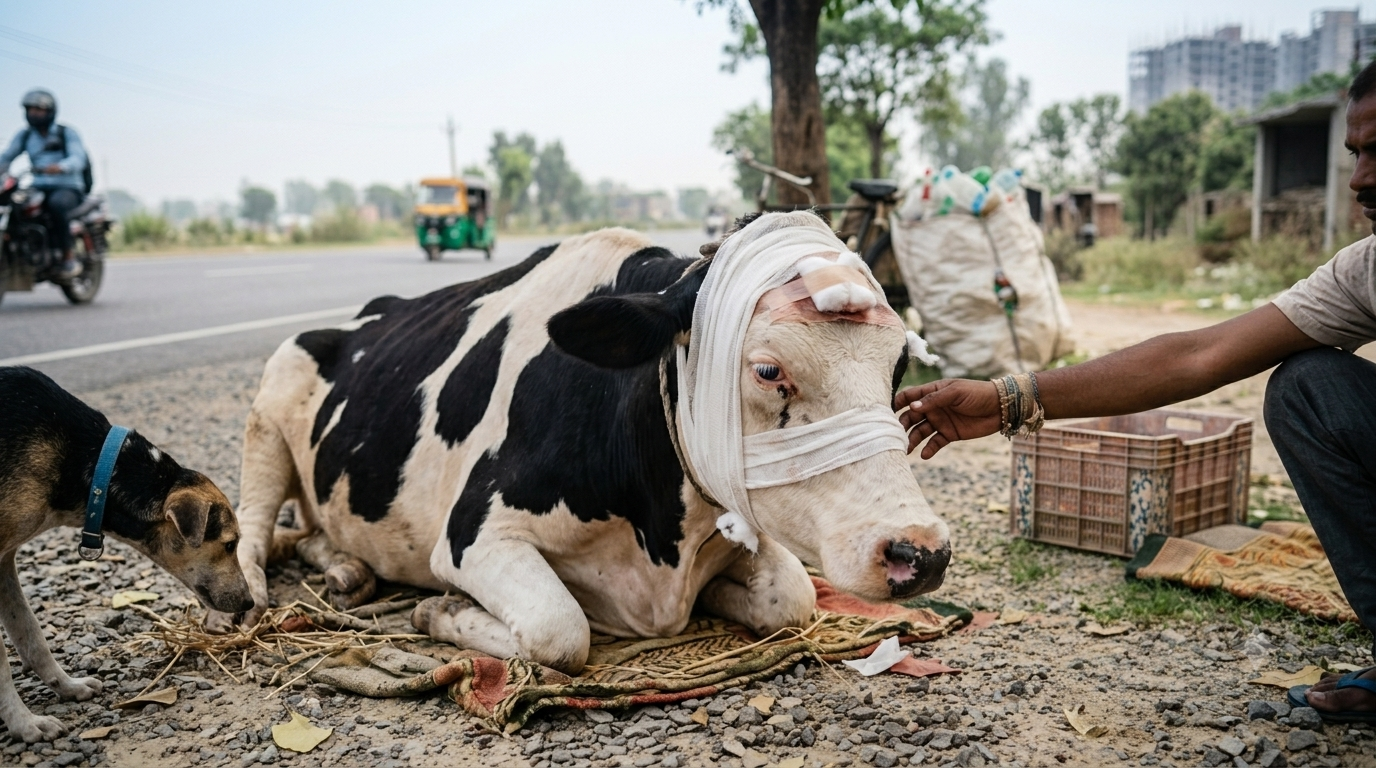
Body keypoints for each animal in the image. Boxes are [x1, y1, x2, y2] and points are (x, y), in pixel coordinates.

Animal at [207, 212, 951, 674]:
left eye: (898, 367)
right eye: (768, 371)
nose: (921, 552)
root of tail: (368, 311)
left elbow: (791, 599)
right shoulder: (474, 533)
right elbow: (559, 631)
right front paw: (440, 609)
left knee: (308, 531)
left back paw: (344, 568)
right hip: (267, 410)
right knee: (253, 525)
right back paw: (250, 591)